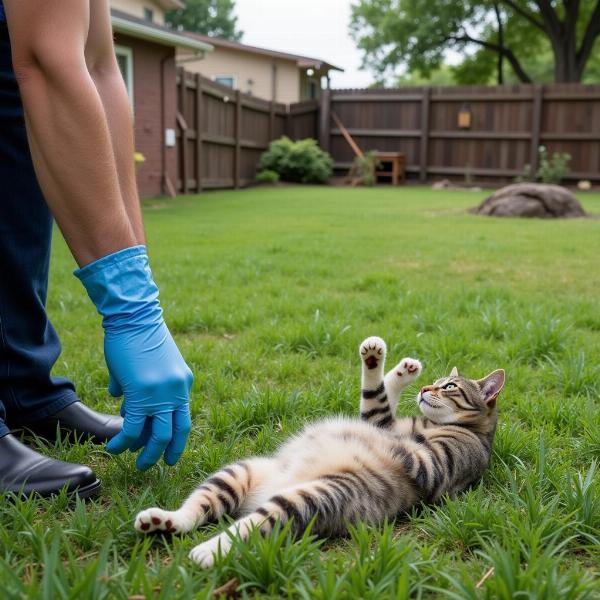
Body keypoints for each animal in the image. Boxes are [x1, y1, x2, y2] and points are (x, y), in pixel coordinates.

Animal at [134, 338, 504, 568]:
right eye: (437, 383)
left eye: (449, 387)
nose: (426, 389)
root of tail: (270, 492)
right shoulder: (383, 420)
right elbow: (377, 398)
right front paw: (394, 369)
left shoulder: (432, 462)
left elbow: (394, 435)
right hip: (239, 473)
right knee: (197, 509)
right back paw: (165, 520)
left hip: (310, 497)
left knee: (247, 529)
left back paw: (207, 552)